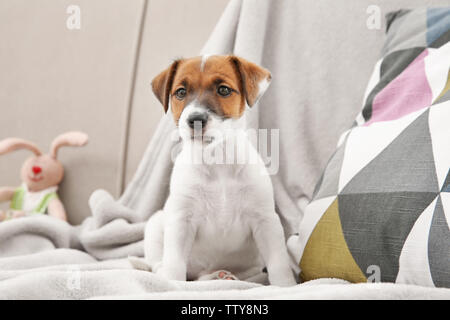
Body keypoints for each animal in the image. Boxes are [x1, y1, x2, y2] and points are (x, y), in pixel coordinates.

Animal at [142, 55, 296, 288]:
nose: (195, 119)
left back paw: (219, 276)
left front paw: (285, 286)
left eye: (223, 90)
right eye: (180, 92)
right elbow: (175, 262)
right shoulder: (181, 221)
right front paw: (172, 285)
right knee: (166, 266)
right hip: (155, 224)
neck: (217, 163)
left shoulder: (265, 220)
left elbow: (278, 262)